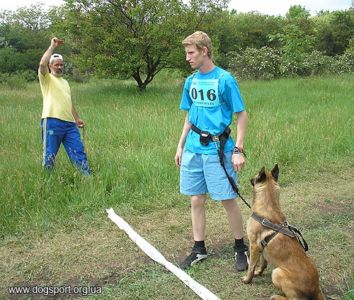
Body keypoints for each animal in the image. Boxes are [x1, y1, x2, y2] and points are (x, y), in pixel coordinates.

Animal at [243, 165, 320, 298]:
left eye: (256, 175)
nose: (250, 179)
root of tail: (316, 289)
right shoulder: (261, 247)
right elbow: (262, 264)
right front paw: (259, 273)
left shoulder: (254, 246)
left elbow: (251, 266)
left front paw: (247, 280)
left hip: (277, 272)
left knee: (294, 298)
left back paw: (276, 297)